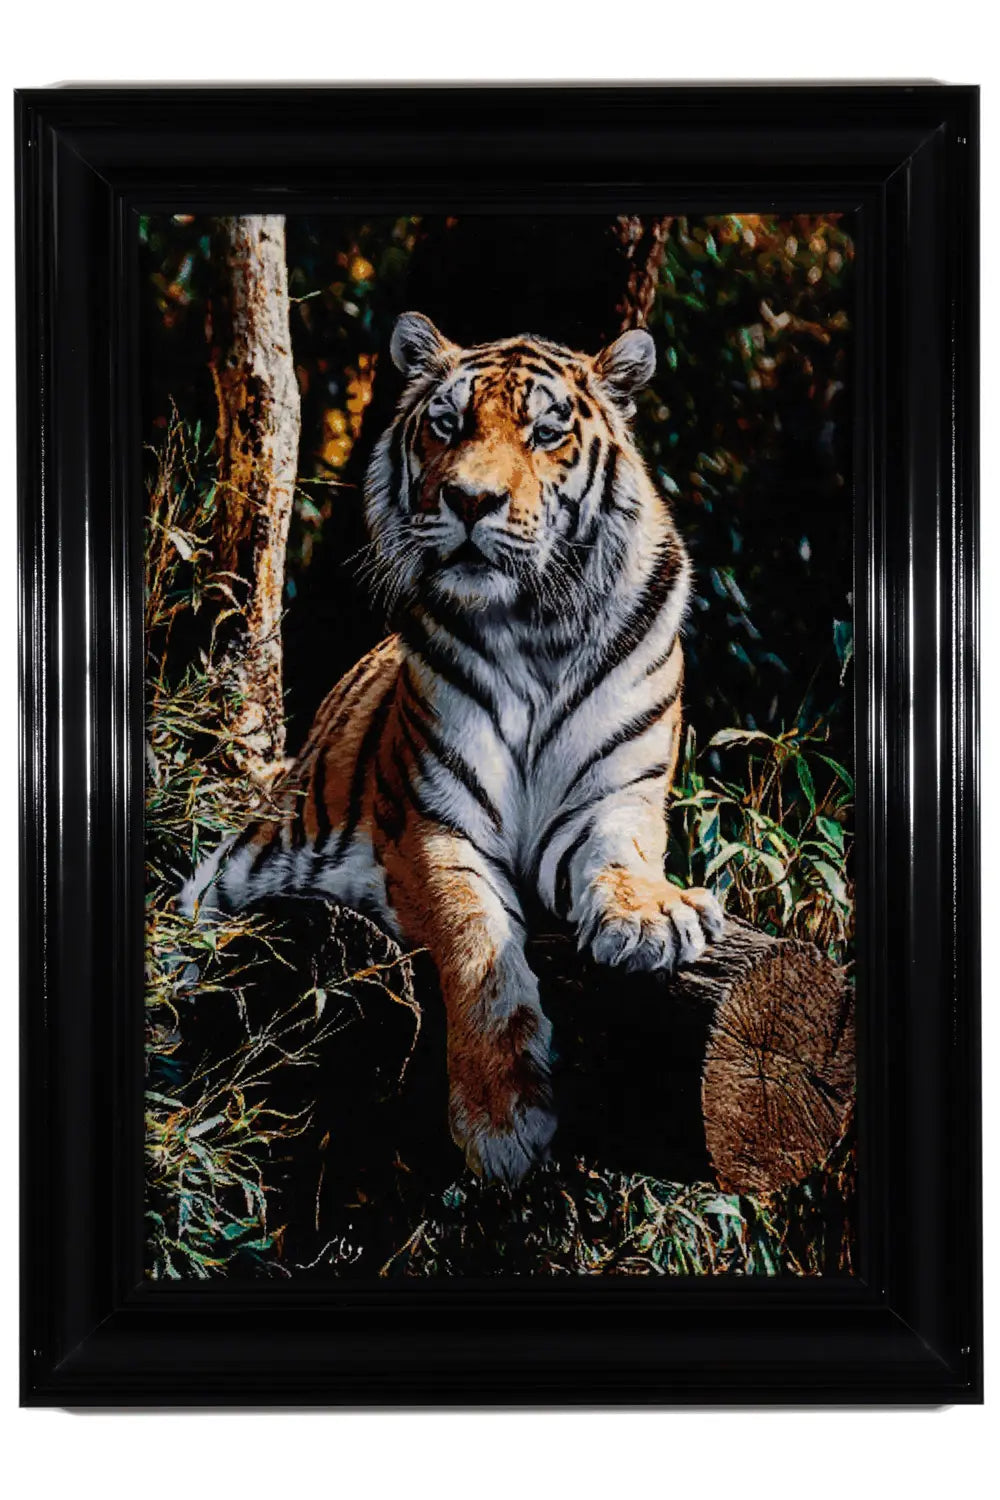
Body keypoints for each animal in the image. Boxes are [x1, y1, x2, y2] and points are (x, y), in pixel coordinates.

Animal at [182, 311, 724, 1184]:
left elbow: (621, 861)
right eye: (448, 424)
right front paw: (501, 1122)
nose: (470, 499)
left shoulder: (613, 798)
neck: (540, 629)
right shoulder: (433, 824)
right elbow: (478, 942)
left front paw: (652, 920)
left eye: (546, 432)